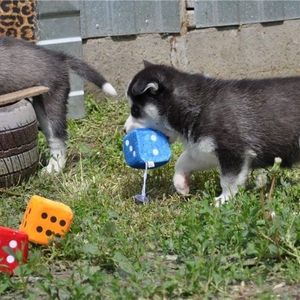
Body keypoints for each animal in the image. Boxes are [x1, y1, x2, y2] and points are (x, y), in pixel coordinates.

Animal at [123, 61, 300, 206]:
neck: (197, 107)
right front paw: (181, 184)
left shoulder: (233, 152)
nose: (124, 130)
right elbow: (182, 161)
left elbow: (228, 181)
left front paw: (223, 200)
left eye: (135, 110)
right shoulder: (203, 149)